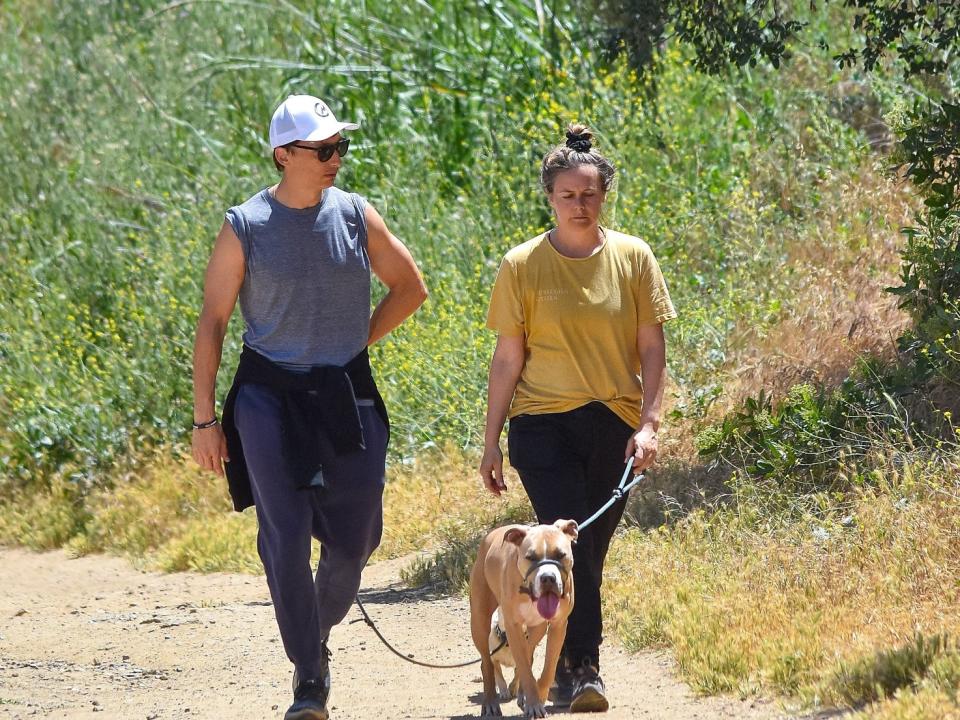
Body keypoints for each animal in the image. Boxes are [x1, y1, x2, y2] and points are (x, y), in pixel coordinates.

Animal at [470, 520, 576, 716]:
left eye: (560, 555)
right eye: (530, 557)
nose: (548, 578)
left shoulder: (558, 625)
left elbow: (547, 667)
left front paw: (537, 696)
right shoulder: (513, 626)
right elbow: (525, 669)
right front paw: (533, 703)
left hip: (537, 629)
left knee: (527, 653)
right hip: (479, 622)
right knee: (487, 663)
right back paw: (490, 702)